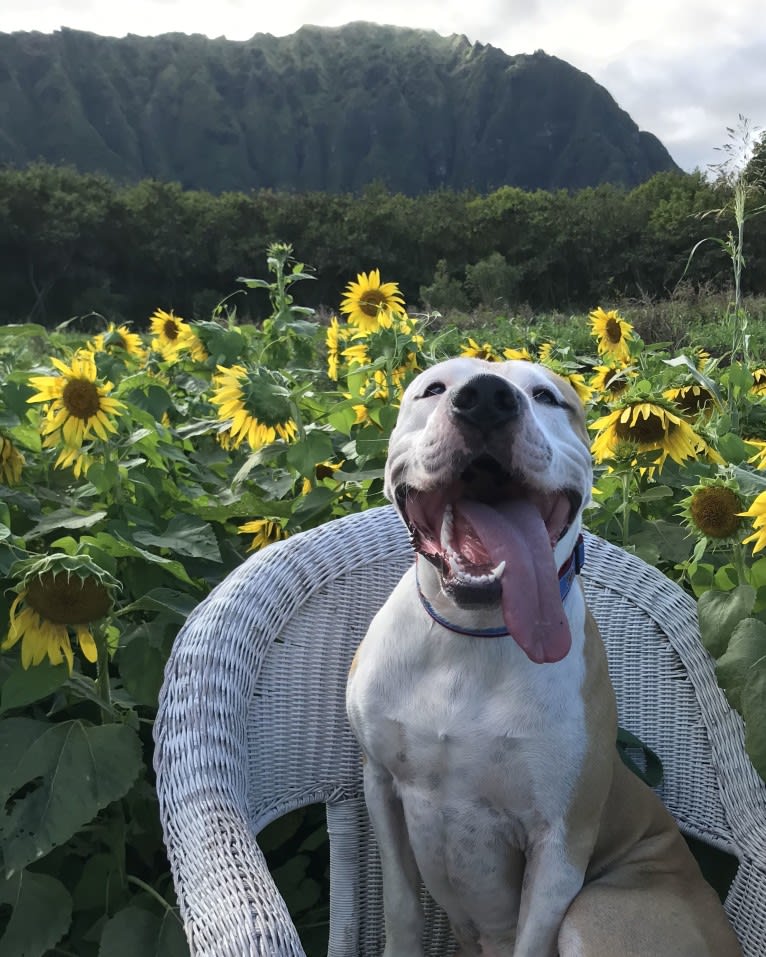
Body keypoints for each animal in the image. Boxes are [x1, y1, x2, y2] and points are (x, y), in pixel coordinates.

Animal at [346, 358, 736, 956]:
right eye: (432, 388)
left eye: (547, 397)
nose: (486, 398)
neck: (471, 640)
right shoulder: (381, 786)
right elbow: (401, 907)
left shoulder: (560, 844)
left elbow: (533, 940)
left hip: (599, 911)